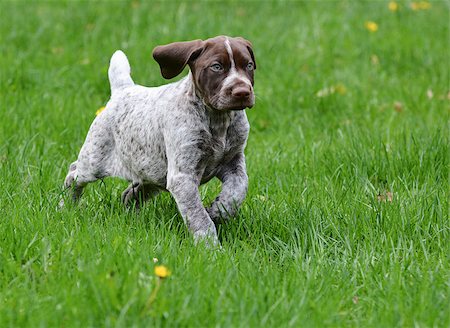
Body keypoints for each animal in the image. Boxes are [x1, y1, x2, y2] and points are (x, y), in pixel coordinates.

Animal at [62, 36, 256, 246]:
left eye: (249, 65)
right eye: (217, 67)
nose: (242, 92)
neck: (218, 119)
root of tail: (123, 90)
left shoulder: (233, 164)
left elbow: (238, 189)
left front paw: (218, 211)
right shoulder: (182, 177)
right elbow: (198, 216)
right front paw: (209, 246)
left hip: (153, 174)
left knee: (129, 194)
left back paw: (132, 219)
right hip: (94, 162)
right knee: (73, 173)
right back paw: (66, 205)